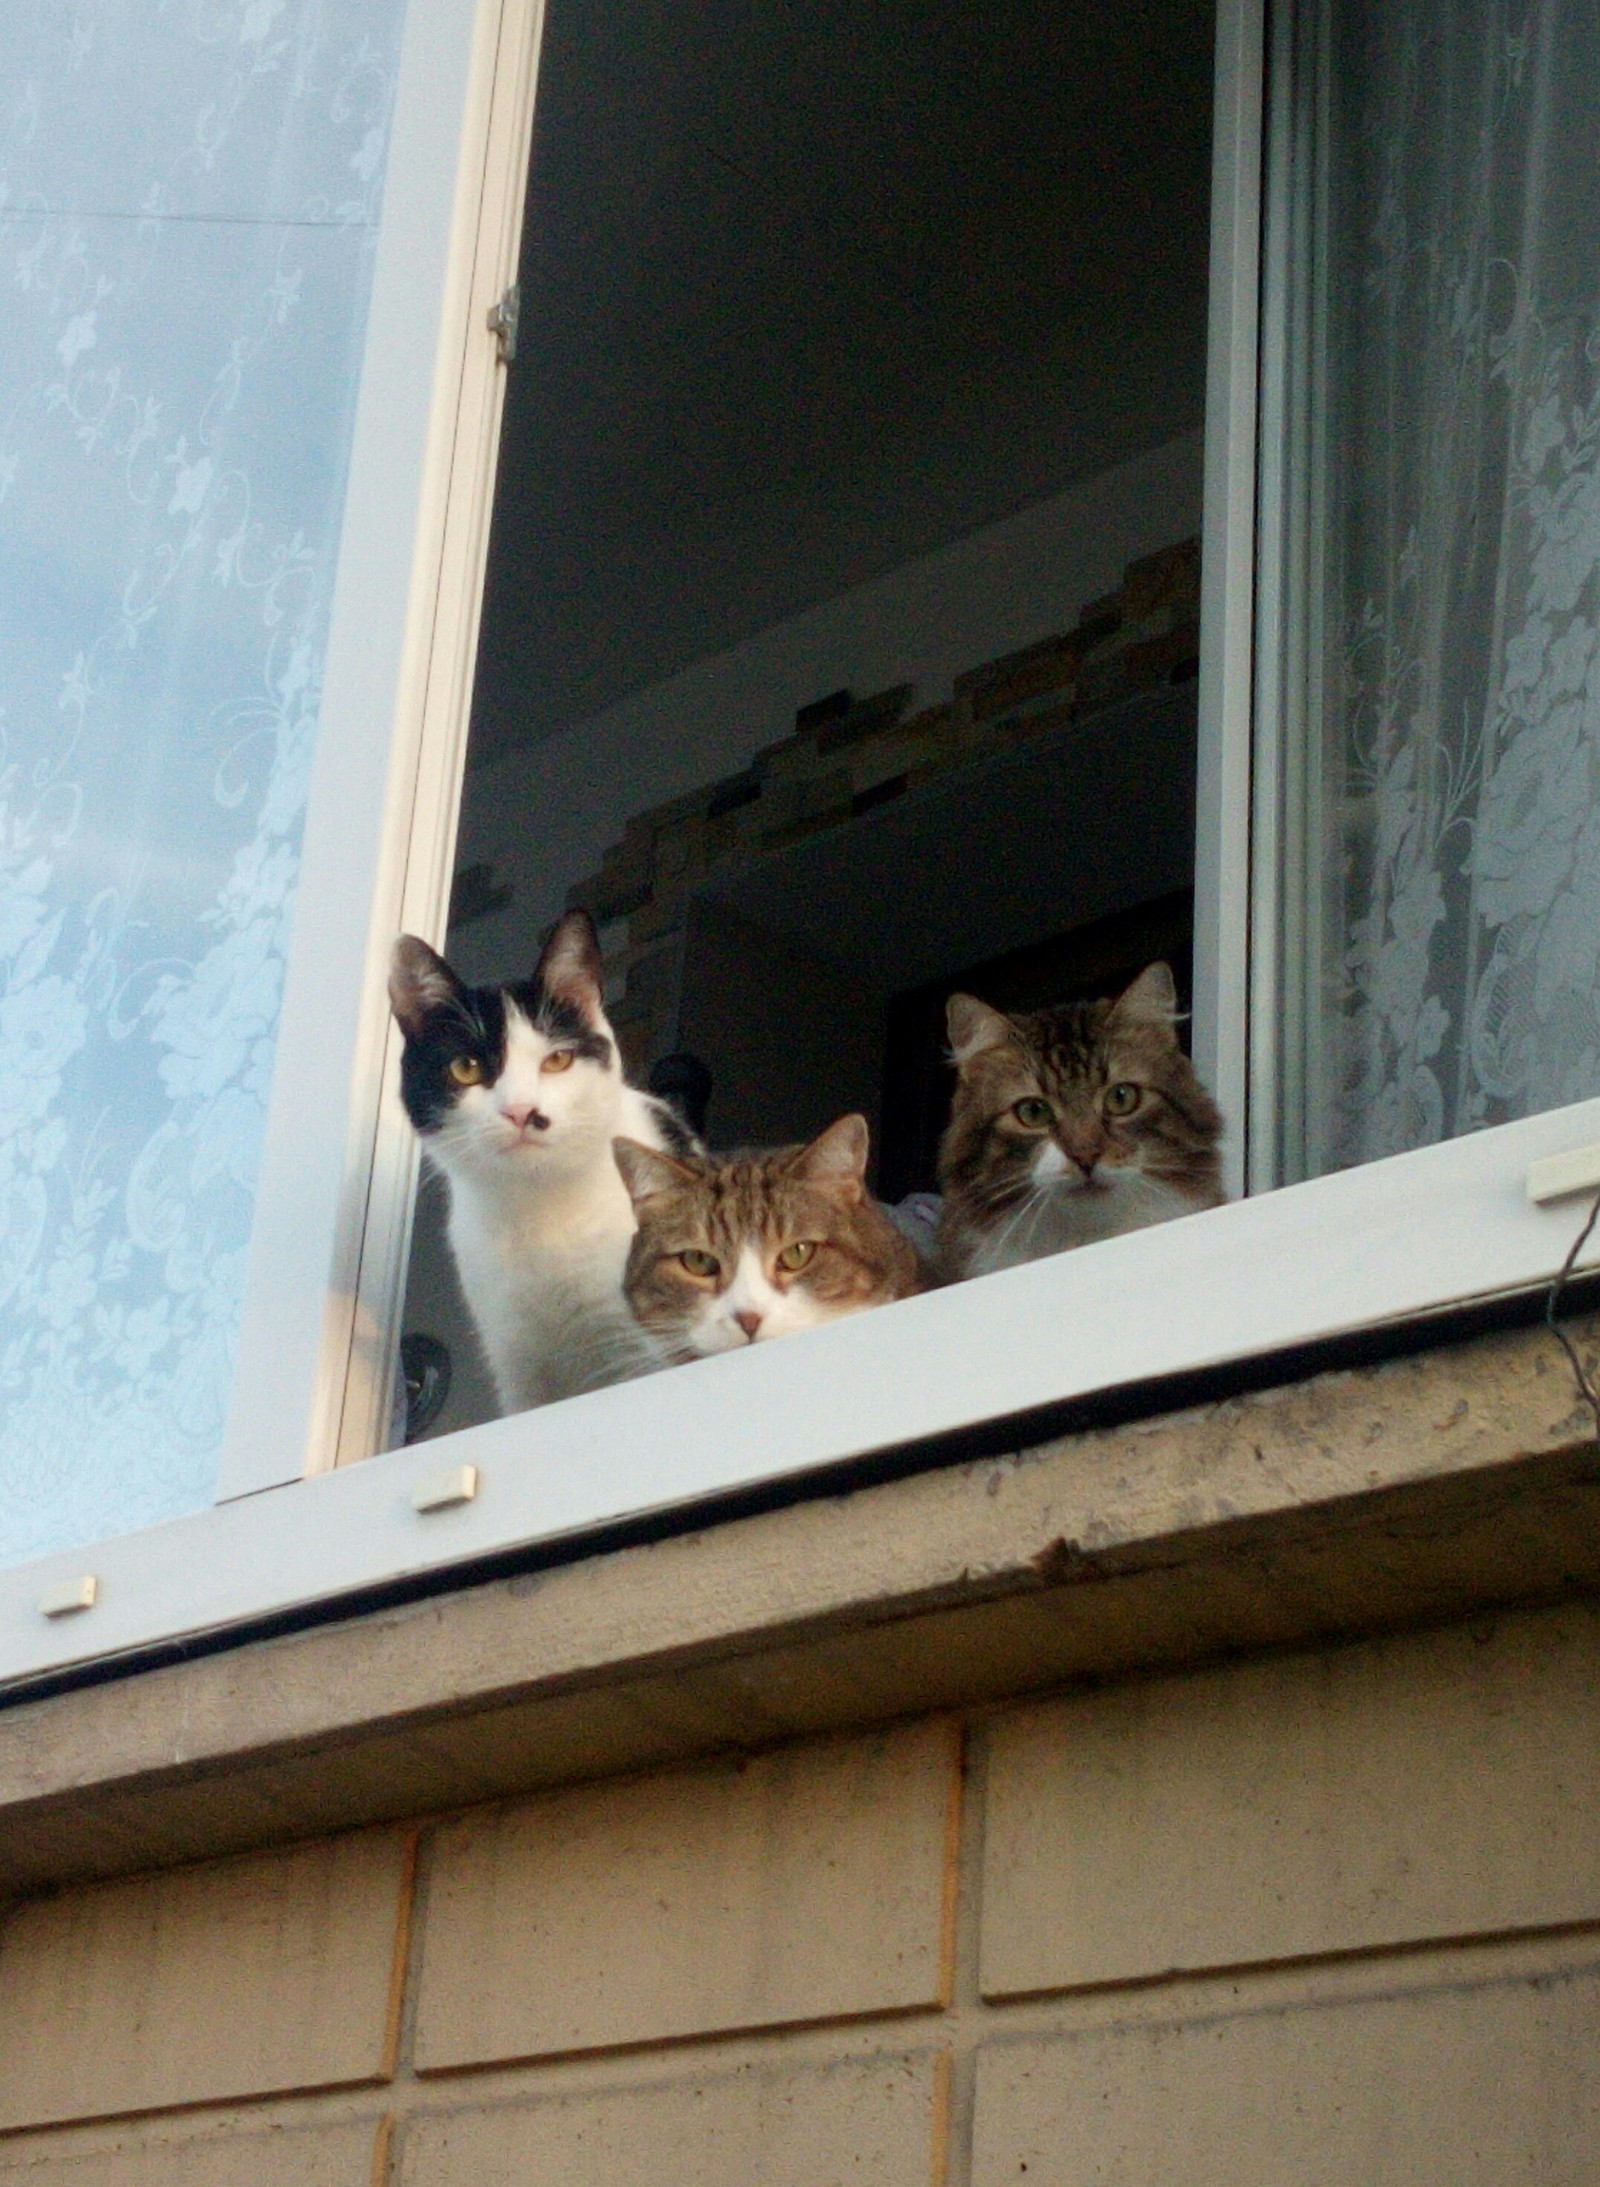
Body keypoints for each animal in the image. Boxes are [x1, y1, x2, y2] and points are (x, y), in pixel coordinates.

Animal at [386, 909, 695, 1408]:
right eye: (466, 1068)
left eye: (558, 1060)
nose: (522, 1111)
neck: (539, 1210)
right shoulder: (518, 1369)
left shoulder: (637, 1349)